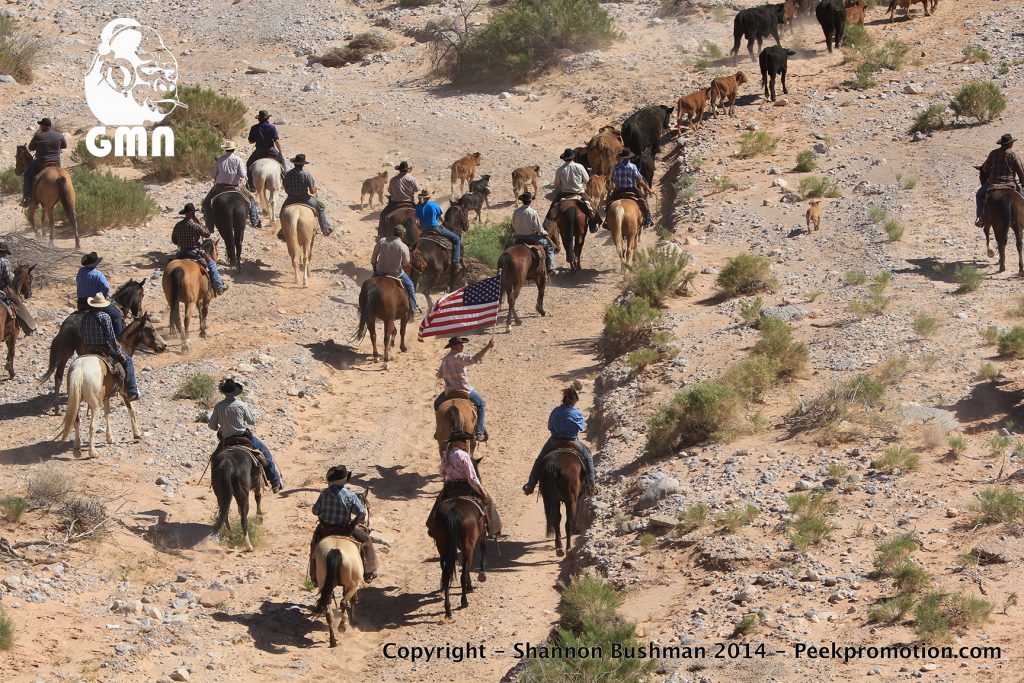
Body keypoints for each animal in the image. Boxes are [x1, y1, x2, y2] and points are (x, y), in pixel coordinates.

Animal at [39, 278, 147, 411]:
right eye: (142, 295)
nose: (139, 314)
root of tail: (67, 326)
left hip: (66, 353)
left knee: (58, 376)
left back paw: (57, 406)